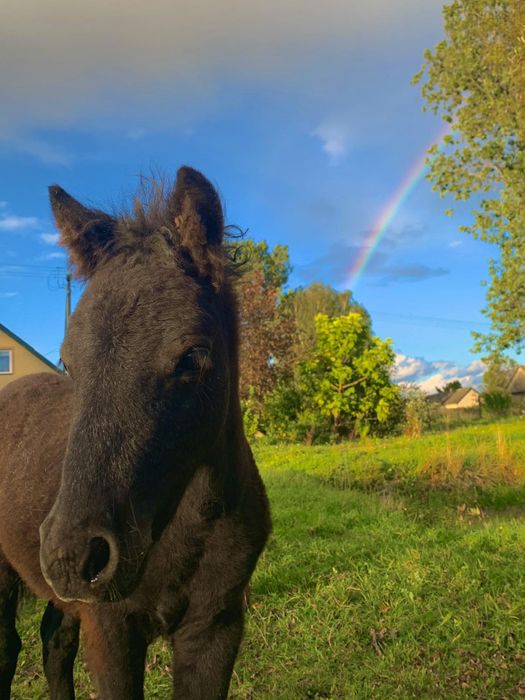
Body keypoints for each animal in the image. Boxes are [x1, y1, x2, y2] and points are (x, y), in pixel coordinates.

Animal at [0, 167, 272, 696]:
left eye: (193, 357)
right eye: (68, 358)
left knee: (53, 641)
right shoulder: (110, 629)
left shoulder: (216, 626)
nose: (73, 556)